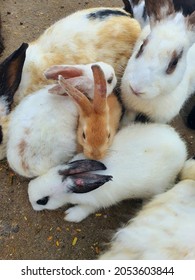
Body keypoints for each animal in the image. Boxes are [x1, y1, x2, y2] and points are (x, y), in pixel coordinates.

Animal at [28, 122, 187, 223]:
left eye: (43, 200)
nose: (31, 202)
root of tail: (181, 147)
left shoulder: (95, 202)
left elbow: (86, 209)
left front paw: (70, 215)